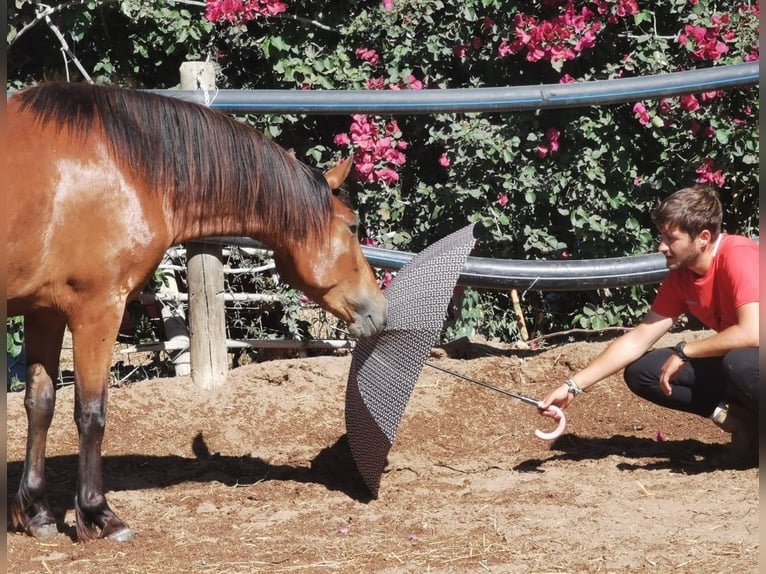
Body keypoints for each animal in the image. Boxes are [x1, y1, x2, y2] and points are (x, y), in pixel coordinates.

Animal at [6, 82, 390, 544]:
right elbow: (91, 413)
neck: (123, 167)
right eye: (352, 226)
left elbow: (40, 405)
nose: (380, 309)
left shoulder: (44, 311)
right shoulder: (97, 309)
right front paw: (100, 514)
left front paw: (37, 513)